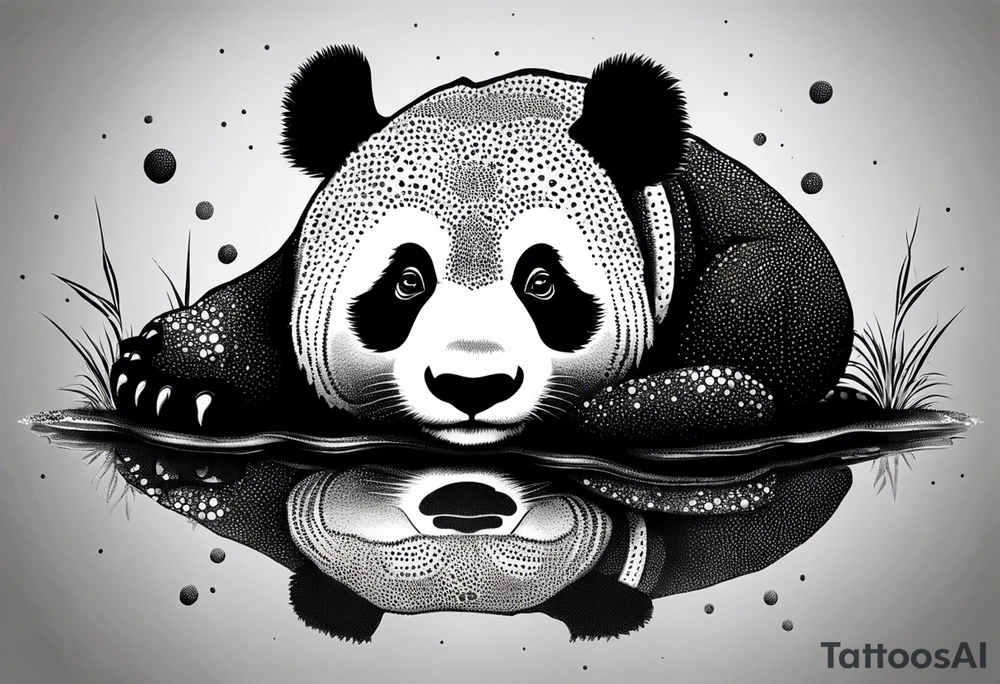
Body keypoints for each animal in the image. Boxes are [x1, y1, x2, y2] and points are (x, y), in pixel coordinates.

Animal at [110, 45, 853, 448]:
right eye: (407, 281)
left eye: (542, 283)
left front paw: (613, 412)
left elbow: (757, 352)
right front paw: (172, 382)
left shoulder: (753, 271)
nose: (473, 386)